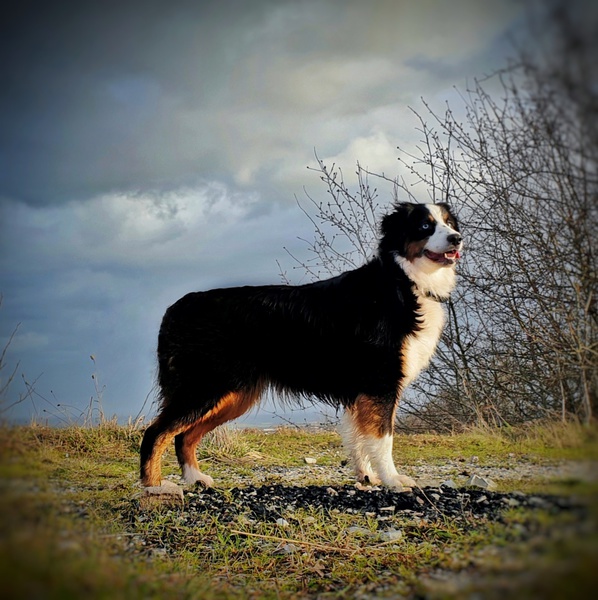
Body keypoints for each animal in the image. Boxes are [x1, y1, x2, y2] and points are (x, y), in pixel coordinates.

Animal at [140, 202, 462, 490]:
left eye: (449, 223)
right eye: (425, 226)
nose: (457, 238)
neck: (401, 281)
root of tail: (175, 309)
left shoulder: (360, 391)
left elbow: (357, 436)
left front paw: (366, 476)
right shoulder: (380, 383)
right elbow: (383, 438)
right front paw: (393, 480)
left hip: (232, 394)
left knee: (184, 436)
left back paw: (195, 478)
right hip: (205, 387)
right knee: (155, 433)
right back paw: (154, 487)